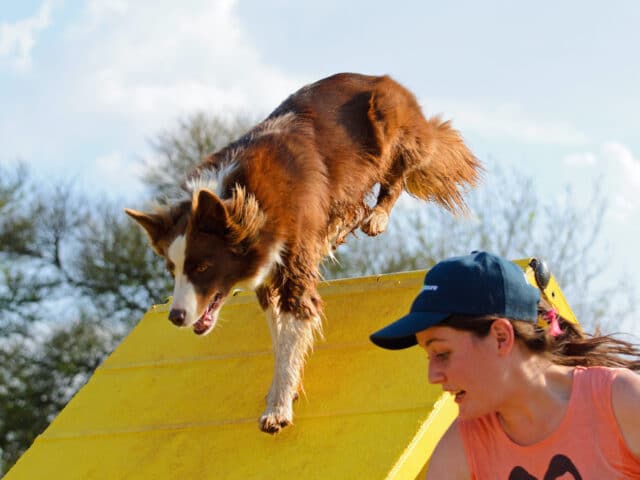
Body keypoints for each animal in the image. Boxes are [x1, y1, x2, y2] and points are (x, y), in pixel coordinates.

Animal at [125, 72, 480, 436]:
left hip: (393, 126)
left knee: (396, 174)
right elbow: (280, 333)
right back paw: (338, 229)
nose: (176, 316)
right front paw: (284, 389)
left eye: (202, 266)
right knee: (352, 206)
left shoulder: (294, 261)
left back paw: (377, 217)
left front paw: (278, 409)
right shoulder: (268, 276)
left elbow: (294, 324)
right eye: (173, 270)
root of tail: (380, 78)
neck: (244, 199)